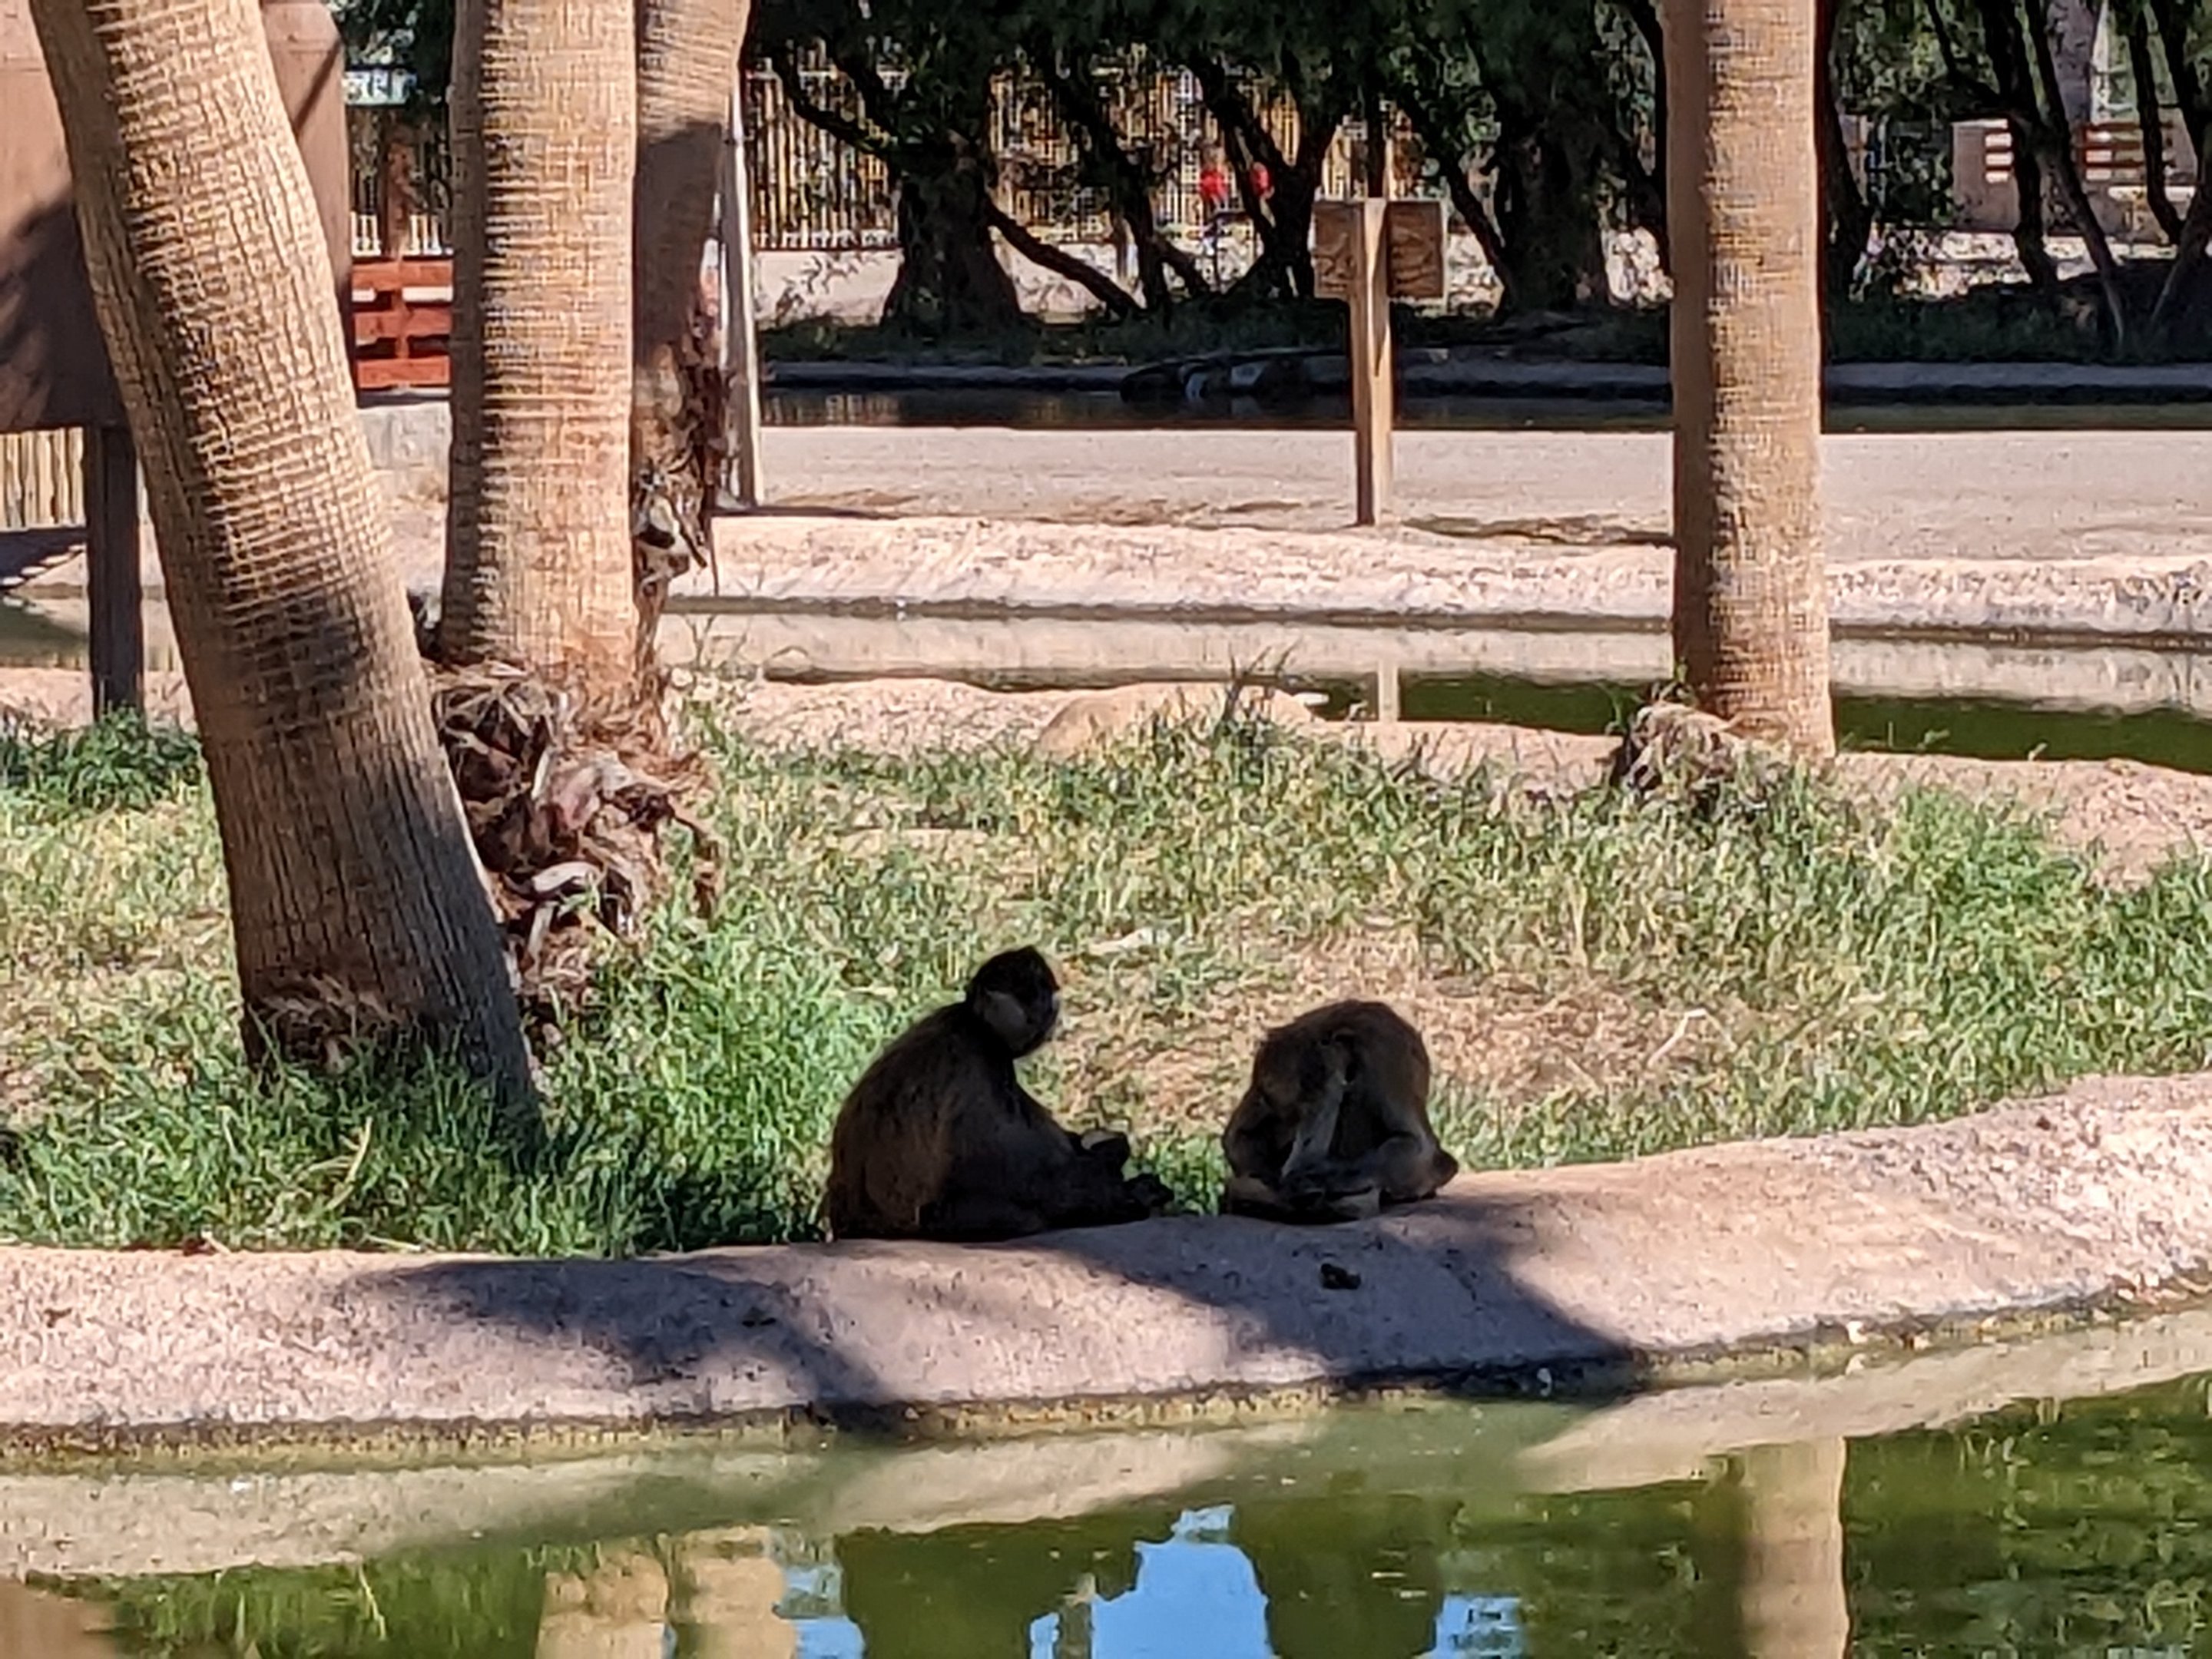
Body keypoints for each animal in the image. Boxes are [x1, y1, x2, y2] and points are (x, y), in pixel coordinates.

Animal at [824, 946, 1175, 1243]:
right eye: (1037, 995)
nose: (1048, 1011)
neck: (971, 1021)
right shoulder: (980, 1060)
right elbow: (1026, 1181)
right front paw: (1127, 1187)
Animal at [1220, 1000, 1457, 1224]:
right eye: (1289, 1112)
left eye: (1298, 1112)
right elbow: (1238, 1137)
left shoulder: (1384, 1052)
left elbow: (1421, 1149)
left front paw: (1313, 1178)